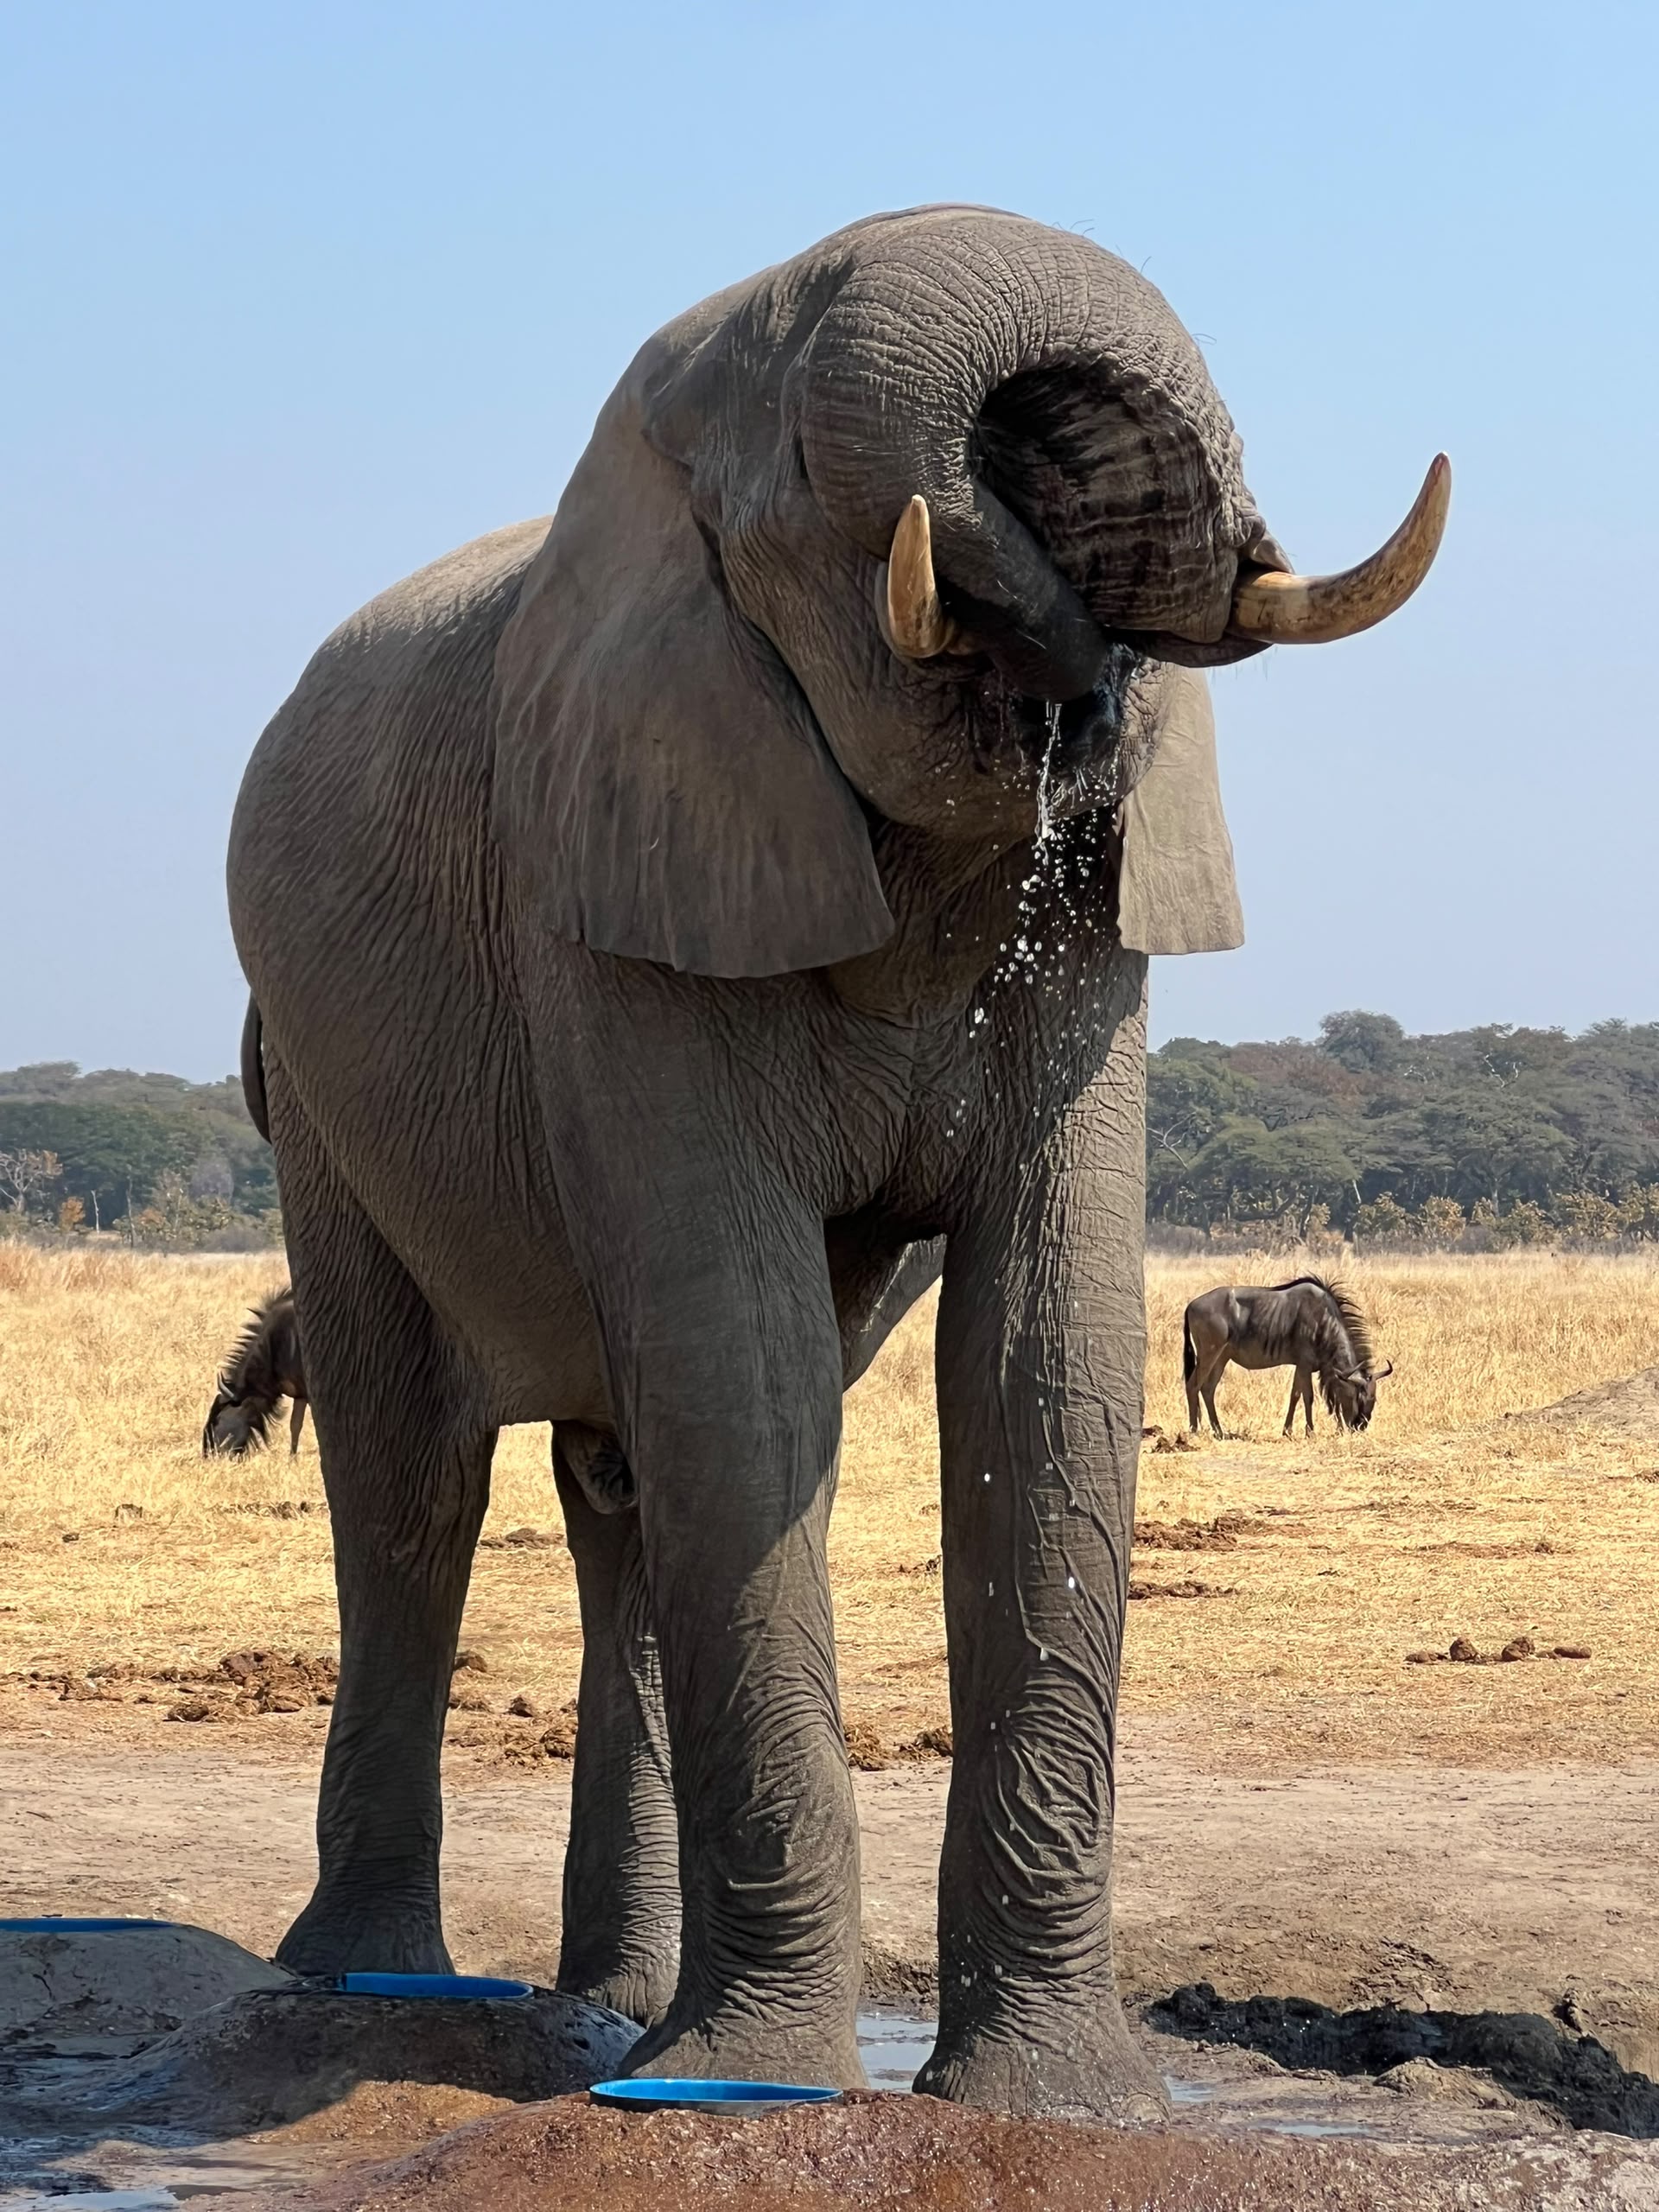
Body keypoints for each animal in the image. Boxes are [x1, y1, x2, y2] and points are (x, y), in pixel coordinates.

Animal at [227, 204, 1446, 2120]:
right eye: (807, 466)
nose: (1076, 660)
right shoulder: (618, 865)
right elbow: (746, 1361)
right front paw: (769, 2097)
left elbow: (1040, 1352)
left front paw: (1059, 2108)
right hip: (320, 1083)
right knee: (416, 1476)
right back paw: (378, 1986)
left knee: (622, 1494)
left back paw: (612, 2006)